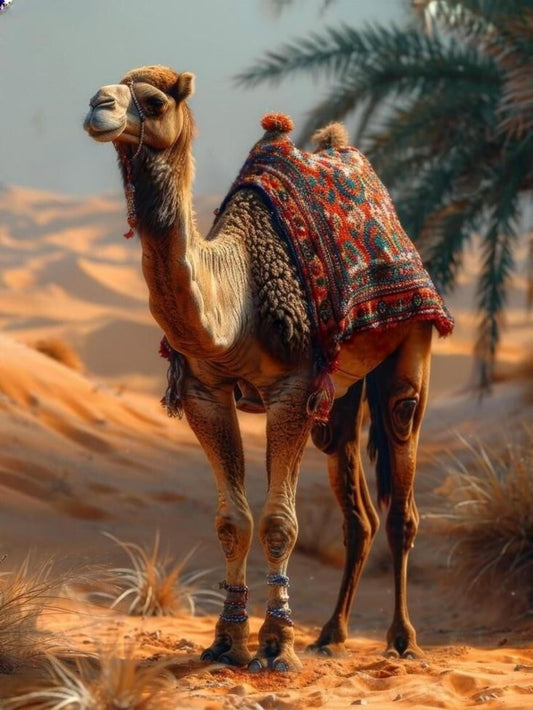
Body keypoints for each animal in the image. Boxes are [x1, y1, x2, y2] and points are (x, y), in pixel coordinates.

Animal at [83, 65, 453, 673]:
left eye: (154, 101)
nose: (98, 105)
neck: (240, 296)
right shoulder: (205, 391)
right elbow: (232, 522)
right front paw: (227, 643)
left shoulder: (292, 388)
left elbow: (280, 523)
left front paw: (277, 645)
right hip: (339, 395)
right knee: (358, 514)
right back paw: (331, 634)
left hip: (412, 345)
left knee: (401, 499)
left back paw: (402, 639)